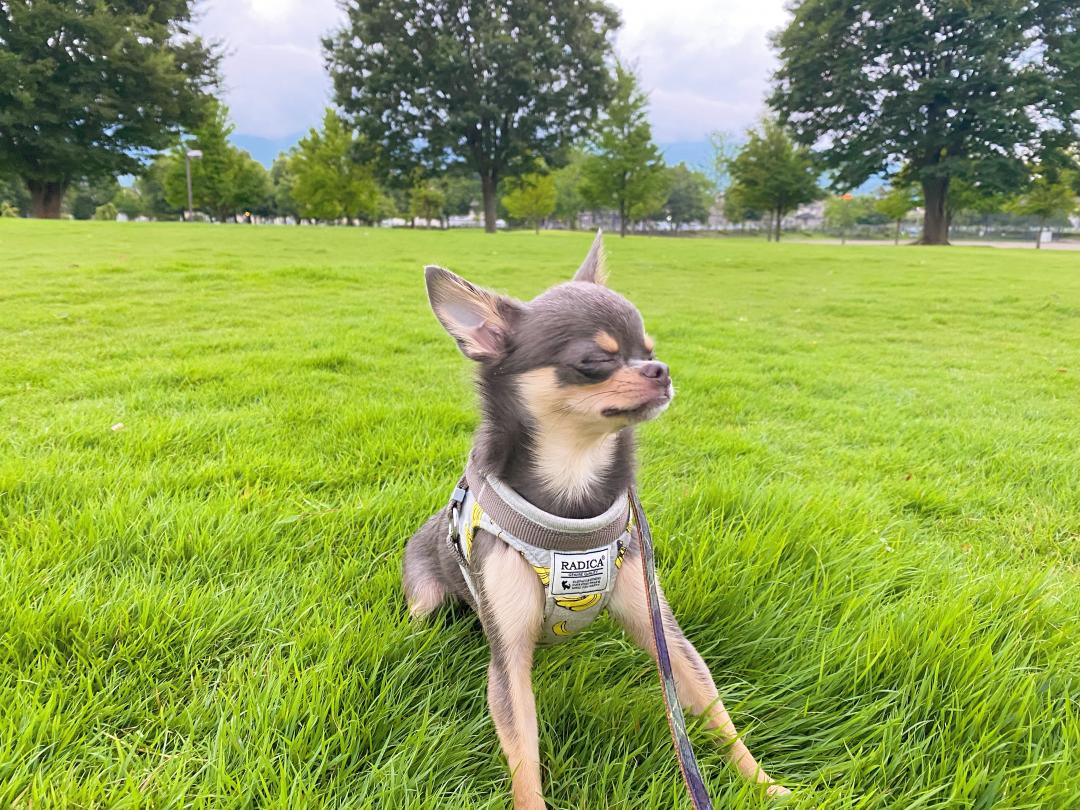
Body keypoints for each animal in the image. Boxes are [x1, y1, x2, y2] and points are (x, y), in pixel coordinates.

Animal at [401, 231, 790, 807]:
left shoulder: (662, 630)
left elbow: (714, 708)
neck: (573, 482)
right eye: (592, 360)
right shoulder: (508, 656)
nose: (661, 371)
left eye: (649, 351)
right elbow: (523, 753)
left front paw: (763, 783)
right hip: (427, 601)